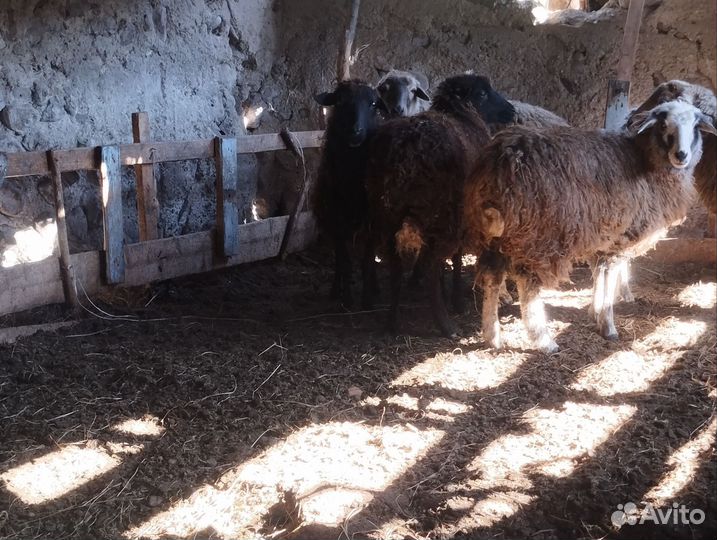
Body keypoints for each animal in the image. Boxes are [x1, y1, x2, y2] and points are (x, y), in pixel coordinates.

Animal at [312, 80, 386, 307]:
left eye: (373, 104)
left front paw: (367, 301)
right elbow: (345, 262)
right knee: (338, 260)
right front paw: (347, 301)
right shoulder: (336, 221)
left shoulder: (372, 222)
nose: (356, 131)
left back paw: (375, 287)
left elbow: (367, 262)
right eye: (340, 101)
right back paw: (335, 290)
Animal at [365, 74, 515, 337]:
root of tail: (405, 150)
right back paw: (446, 325)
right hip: (441, 214)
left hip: (387, 212)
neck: (462, 113)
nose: (511, 110)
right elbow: (456, 258)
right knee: (429, 266)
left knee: (396, 266)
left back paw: (391, 323)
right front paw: (455, 300)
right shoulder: (464, 216)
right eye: (483, 93)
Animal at [464, 100, 716, 353]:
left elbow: (599, 276)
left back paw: (493, 337)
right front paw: (608, 326)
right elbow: (609, 278)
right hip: (537, 237)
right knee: (527, 286)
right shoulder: (619, 240)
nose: (681, 155)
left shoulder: (601, 239)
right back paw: (544, 341)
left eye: (696, 126)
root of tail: (503, 162)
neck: (645, 160)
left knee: (492, 279)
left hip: (494, 238)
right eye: (664, 125)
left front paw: (594, 313)